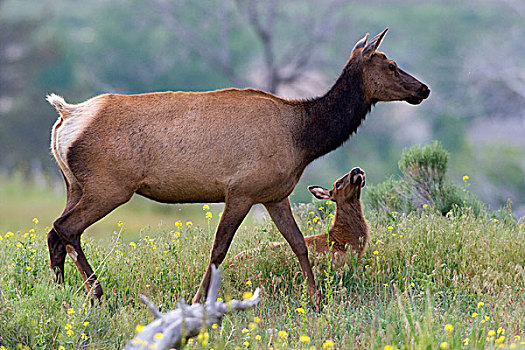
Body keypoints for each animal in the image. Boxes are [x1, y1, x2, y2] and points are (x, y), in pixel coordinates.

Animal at [47, 28, 428, 304]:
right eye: (391, 65)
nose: (423, 88)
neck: (304, 138)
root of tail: (67, 115)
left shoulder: (274, 194)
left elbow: (299, 244)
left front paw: (317, 301)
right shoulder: (241, 190)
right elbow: (219, 249)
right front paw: (198, 301)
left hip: (74, 184)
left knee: (56, 233)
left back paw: (59, 293)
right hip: (109, 186)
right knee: (66, 228)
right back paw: (96, 292)